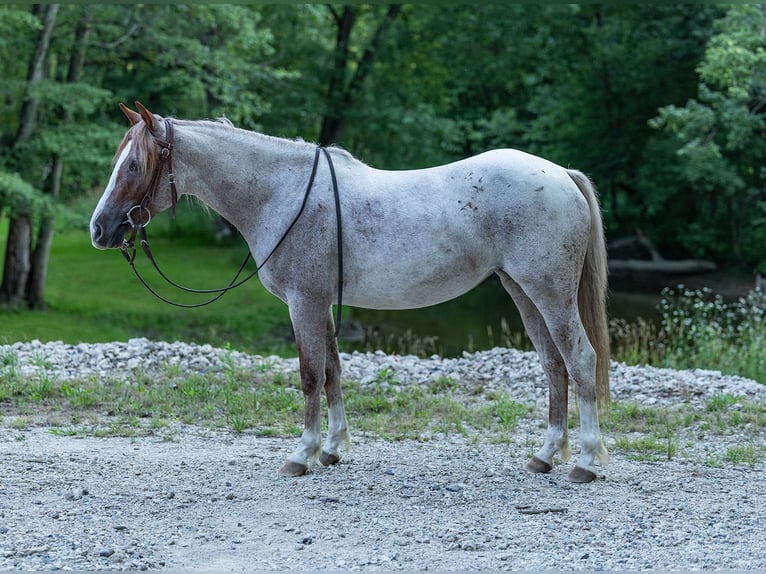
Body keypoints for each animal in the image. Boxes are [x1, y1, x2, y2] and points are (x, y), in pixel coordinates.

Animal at [90, 102, 610, 483]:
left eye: (133, 164)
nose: (99, 229)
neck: (282, 195)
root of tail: (561, 174)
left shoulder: (303, 303)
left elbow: (309, 376)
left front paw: (301, 454)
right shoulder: (319, 305)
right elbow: (333, 373)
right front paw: (333, 448)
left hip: (550, 294)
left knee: (579, 359)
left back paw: (585, 462)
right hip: (524, 292)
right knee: (554, 365)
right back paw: (546, 455)